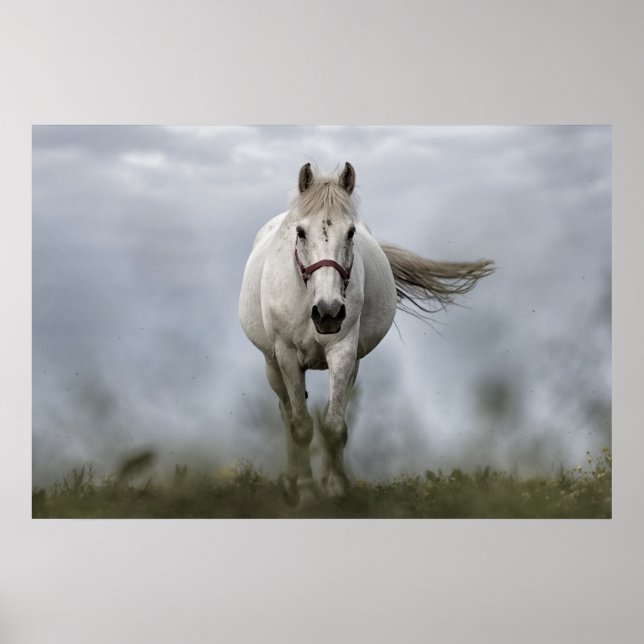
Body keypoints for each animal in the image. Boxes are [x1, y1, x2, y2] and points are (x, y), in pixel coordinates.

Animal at [239, 162, 493, 506]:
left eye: (350, 232)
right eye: (300, 232)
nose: (328, 312)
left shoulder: (344, 351)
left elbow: (334, 425)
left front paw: (334, 488)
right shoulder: (287, 355)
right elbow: (301, 426)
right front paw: (305, 493)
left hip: (352, 364)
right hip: (272, 364)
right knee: (286, 413)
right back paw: (291, 483)